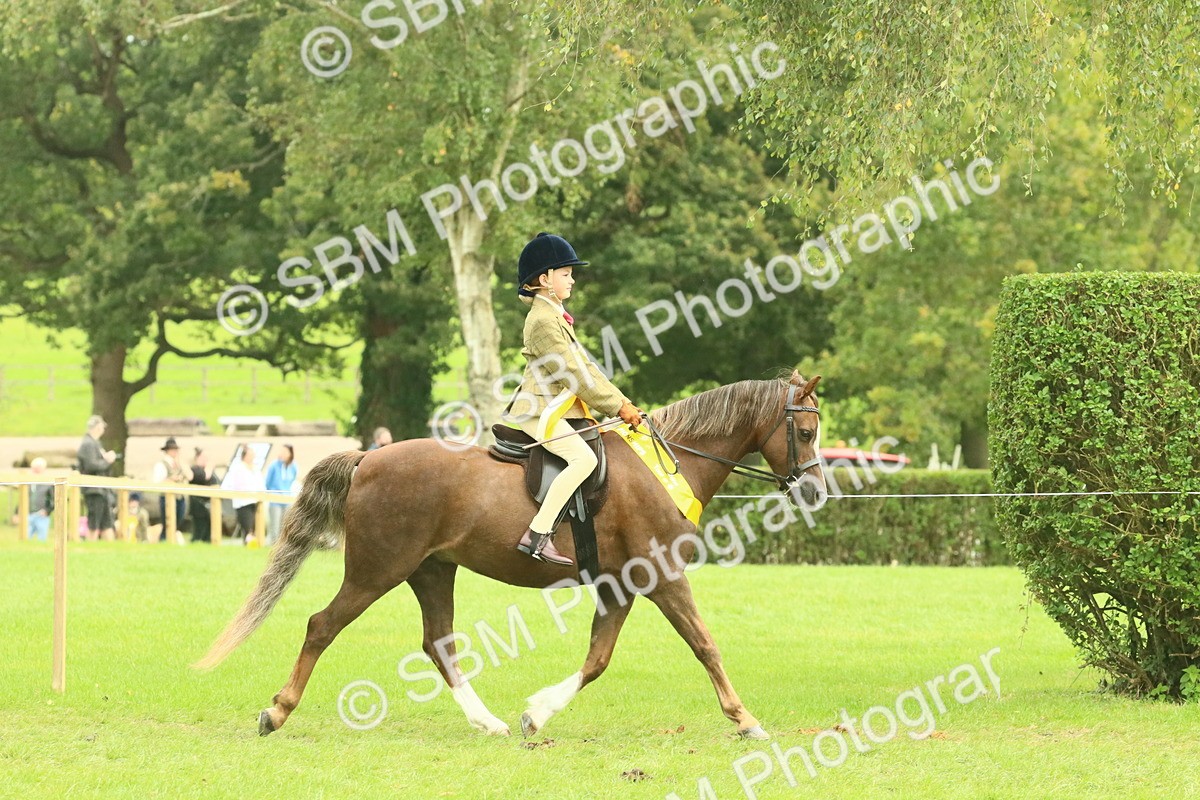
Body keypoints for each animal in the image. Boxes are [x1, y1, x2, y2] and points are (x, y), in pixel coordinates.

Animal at [195, 370, 824, 740]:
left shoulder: (622, 584)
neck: (667, 467)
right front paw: (746, 720)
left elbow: (598, 658)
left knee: (439, 643)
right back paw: (277, 711)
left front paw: (535, 713)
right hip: (377, 571)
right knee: (322, 625)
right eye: (807, 431)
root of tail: (369, 458)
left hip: (431, 571)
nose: (817, 491)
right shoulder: (664, 577)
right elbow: (705, 645)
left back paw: (489, 721)